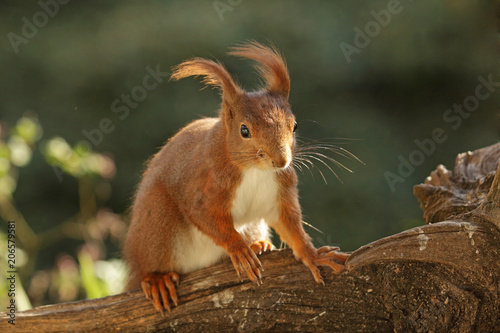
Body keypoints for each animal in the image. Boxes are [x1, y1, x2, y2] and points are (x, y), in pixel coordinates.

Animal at [123, 41, 350, 314]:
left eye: (294, 125)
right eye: (244, 130)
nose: (281, 161)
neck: (255, 171)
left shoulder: (280, 192)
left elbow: (290, 224)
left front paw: (312, 254)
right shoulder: (204, 185)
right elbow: (207, 218)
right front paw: (238, 248)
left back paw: (258, 245)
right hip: (158, 224)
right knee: (148, 265)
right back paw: (157, 280)